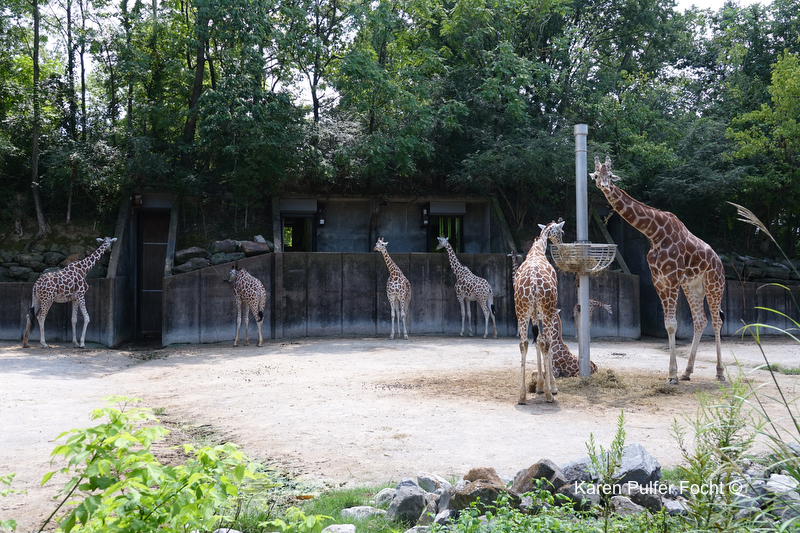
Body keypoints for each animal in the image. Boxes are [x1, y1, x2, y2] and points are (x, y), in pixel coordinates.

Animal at [512, 218, 564, 402]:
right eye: (562, 232)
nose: (561, 246)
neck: (538, 249)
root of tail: (534, 282)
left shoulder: (534, 313)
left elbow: (538, 341)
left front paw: (539, 384)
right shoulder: (548, 310)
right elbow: (545, 342)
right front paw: (550, 386)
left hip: (521, 310)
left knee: (524, 343)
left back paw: (522, 395)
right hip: (546, 310)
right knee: (547, 343)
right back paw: (549, 394)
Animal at [592, 154, 728, 382]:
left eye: (610, 175)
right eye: (596, 175)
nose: (604, 186)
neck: (655, 234)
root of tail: (719, 261)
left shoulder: (672, 279)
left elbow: (672, 323)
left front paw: (671, 375)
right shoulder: (659, 280)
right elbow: (667, 324)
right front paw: (674, 373)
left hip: (714, 284)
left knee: (717, 321)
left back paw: (719, 372)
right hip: (693, 287)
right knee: (700, 321)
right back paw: (687, 372)